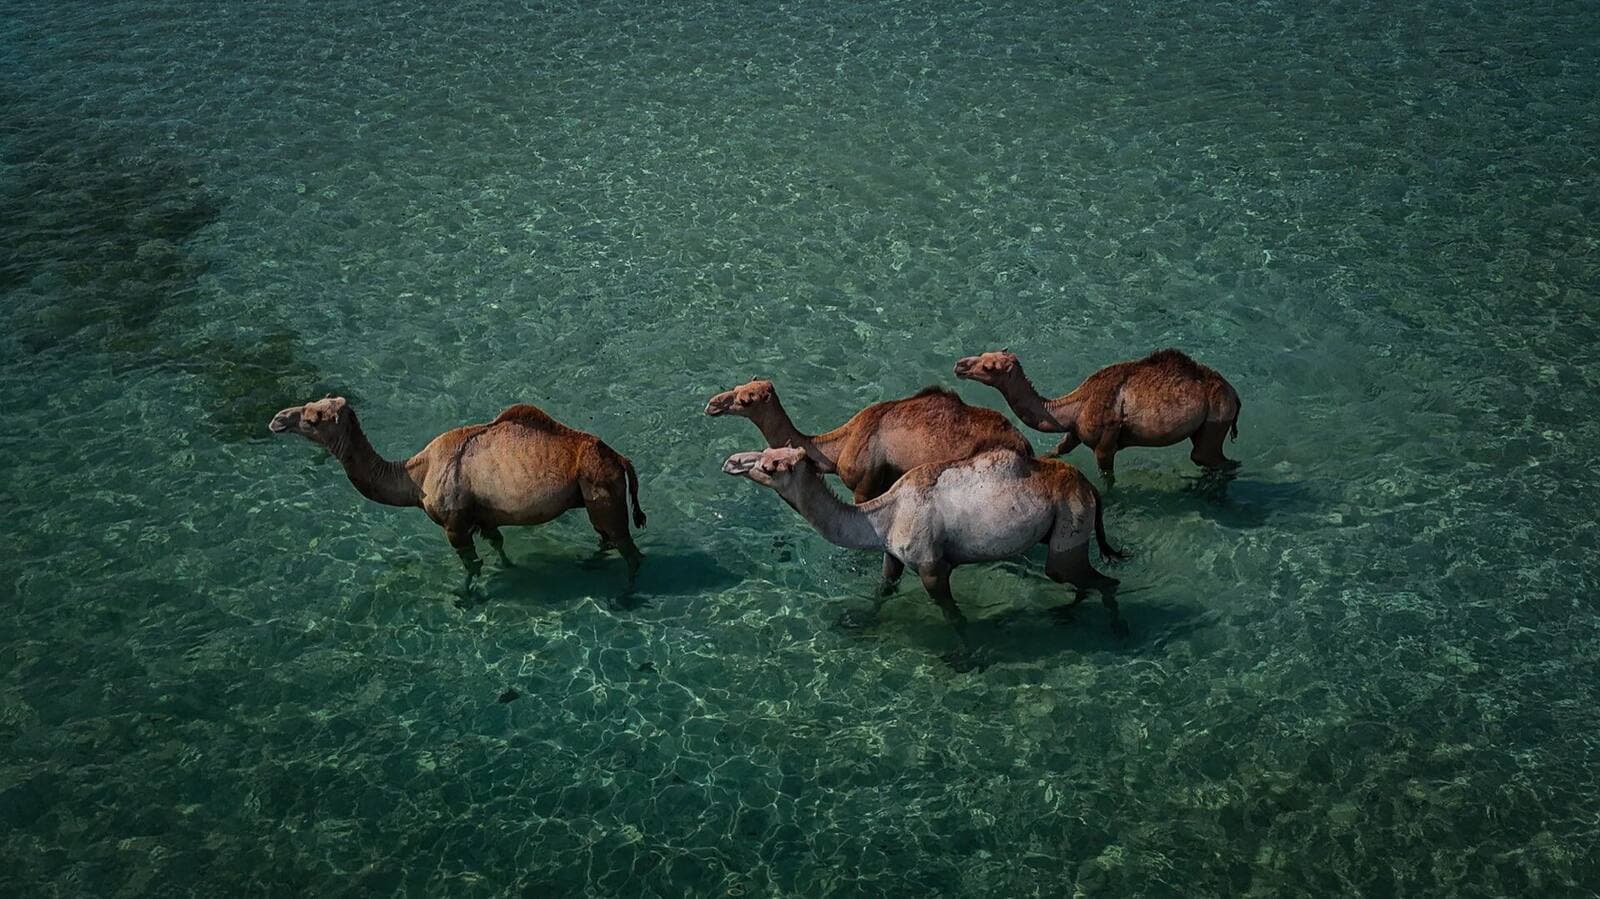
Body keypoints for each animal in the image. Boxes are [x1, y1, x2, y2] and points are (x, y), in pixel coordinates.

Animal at [268, 397, 645, 597]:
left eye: (313, 418)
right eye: (311, 405)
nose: (277, 420)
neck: (416, 477)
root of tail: (622, 459)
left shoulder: (454, 523)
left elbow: (471, 563)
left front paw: (465, 595)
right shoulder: (484, 517)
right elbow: (497, 544)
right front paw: (509, 567)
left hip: (603, 491)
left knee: (627, 545)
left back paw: (626, 593)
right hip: (592, 495)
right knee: (607, 537)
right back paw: (590, 565)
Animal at [705, 379, 1034, 595]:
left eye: (746, 400)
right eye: (737, 387)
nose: (712, 405)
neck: (836, 447)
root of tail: (1024, 444)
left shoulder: (864, 485)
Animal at [722, 446, 1124, 645]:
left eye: (771, 466)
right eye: (763, 451)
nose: (731, 463)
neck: (883, 516)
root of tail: (1090, 488)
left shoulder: (932, 566)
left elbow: (953, 614)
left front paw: (968, 654)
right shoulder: (892, 555)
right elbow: (883, 588)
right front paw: (858, 620)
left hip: (1070, 522)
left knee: (1099, 579)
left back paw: (1117, 629)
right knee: (1080, 579)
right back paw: (1064, 614)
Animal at [954, 348, 1241, 486]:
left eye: (989, 367)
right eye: (984, 354)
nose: (959, 365)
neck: (1074, 407)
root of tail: (1236, 397)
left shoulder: (1105, 444)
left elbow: (1107, 477)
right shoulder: (1075, 432)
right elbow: (1057, 450)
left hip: (1216, 418)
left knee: (1210, 457)